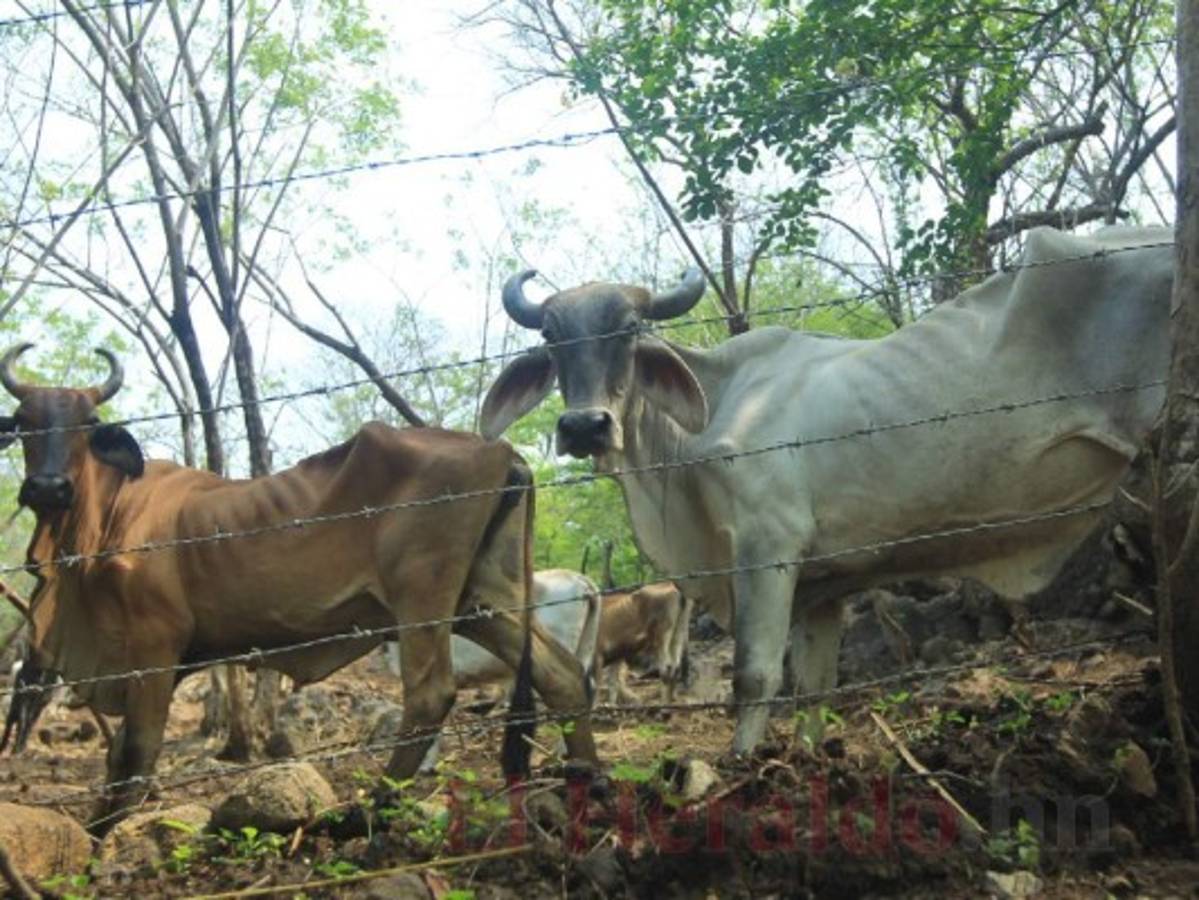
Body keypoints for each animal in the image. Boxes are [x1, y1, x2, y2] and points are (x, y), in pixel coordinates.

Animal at [0, 345, 599, 831]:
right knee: (563, 675)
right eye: (25, 422)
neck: (105, 520)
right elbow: (119, 754)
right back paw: (588, 782)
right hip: (482, 601)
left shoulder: (155, 646)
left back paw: (370, 810)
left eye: (88, 423)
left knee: (432, 694)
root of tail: (504, 454)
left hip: (422, 597)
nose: (47, 487)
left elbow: (137, 756)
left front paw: (99, 837)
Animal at [480, 225, 1172, 757]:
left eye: (627, 328)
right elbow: (815, 684)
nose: (583, 425)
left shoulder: (767, 550)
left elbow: (755, 676)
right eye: (551, 337)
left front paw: (740, 766)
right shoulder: (823, 586)